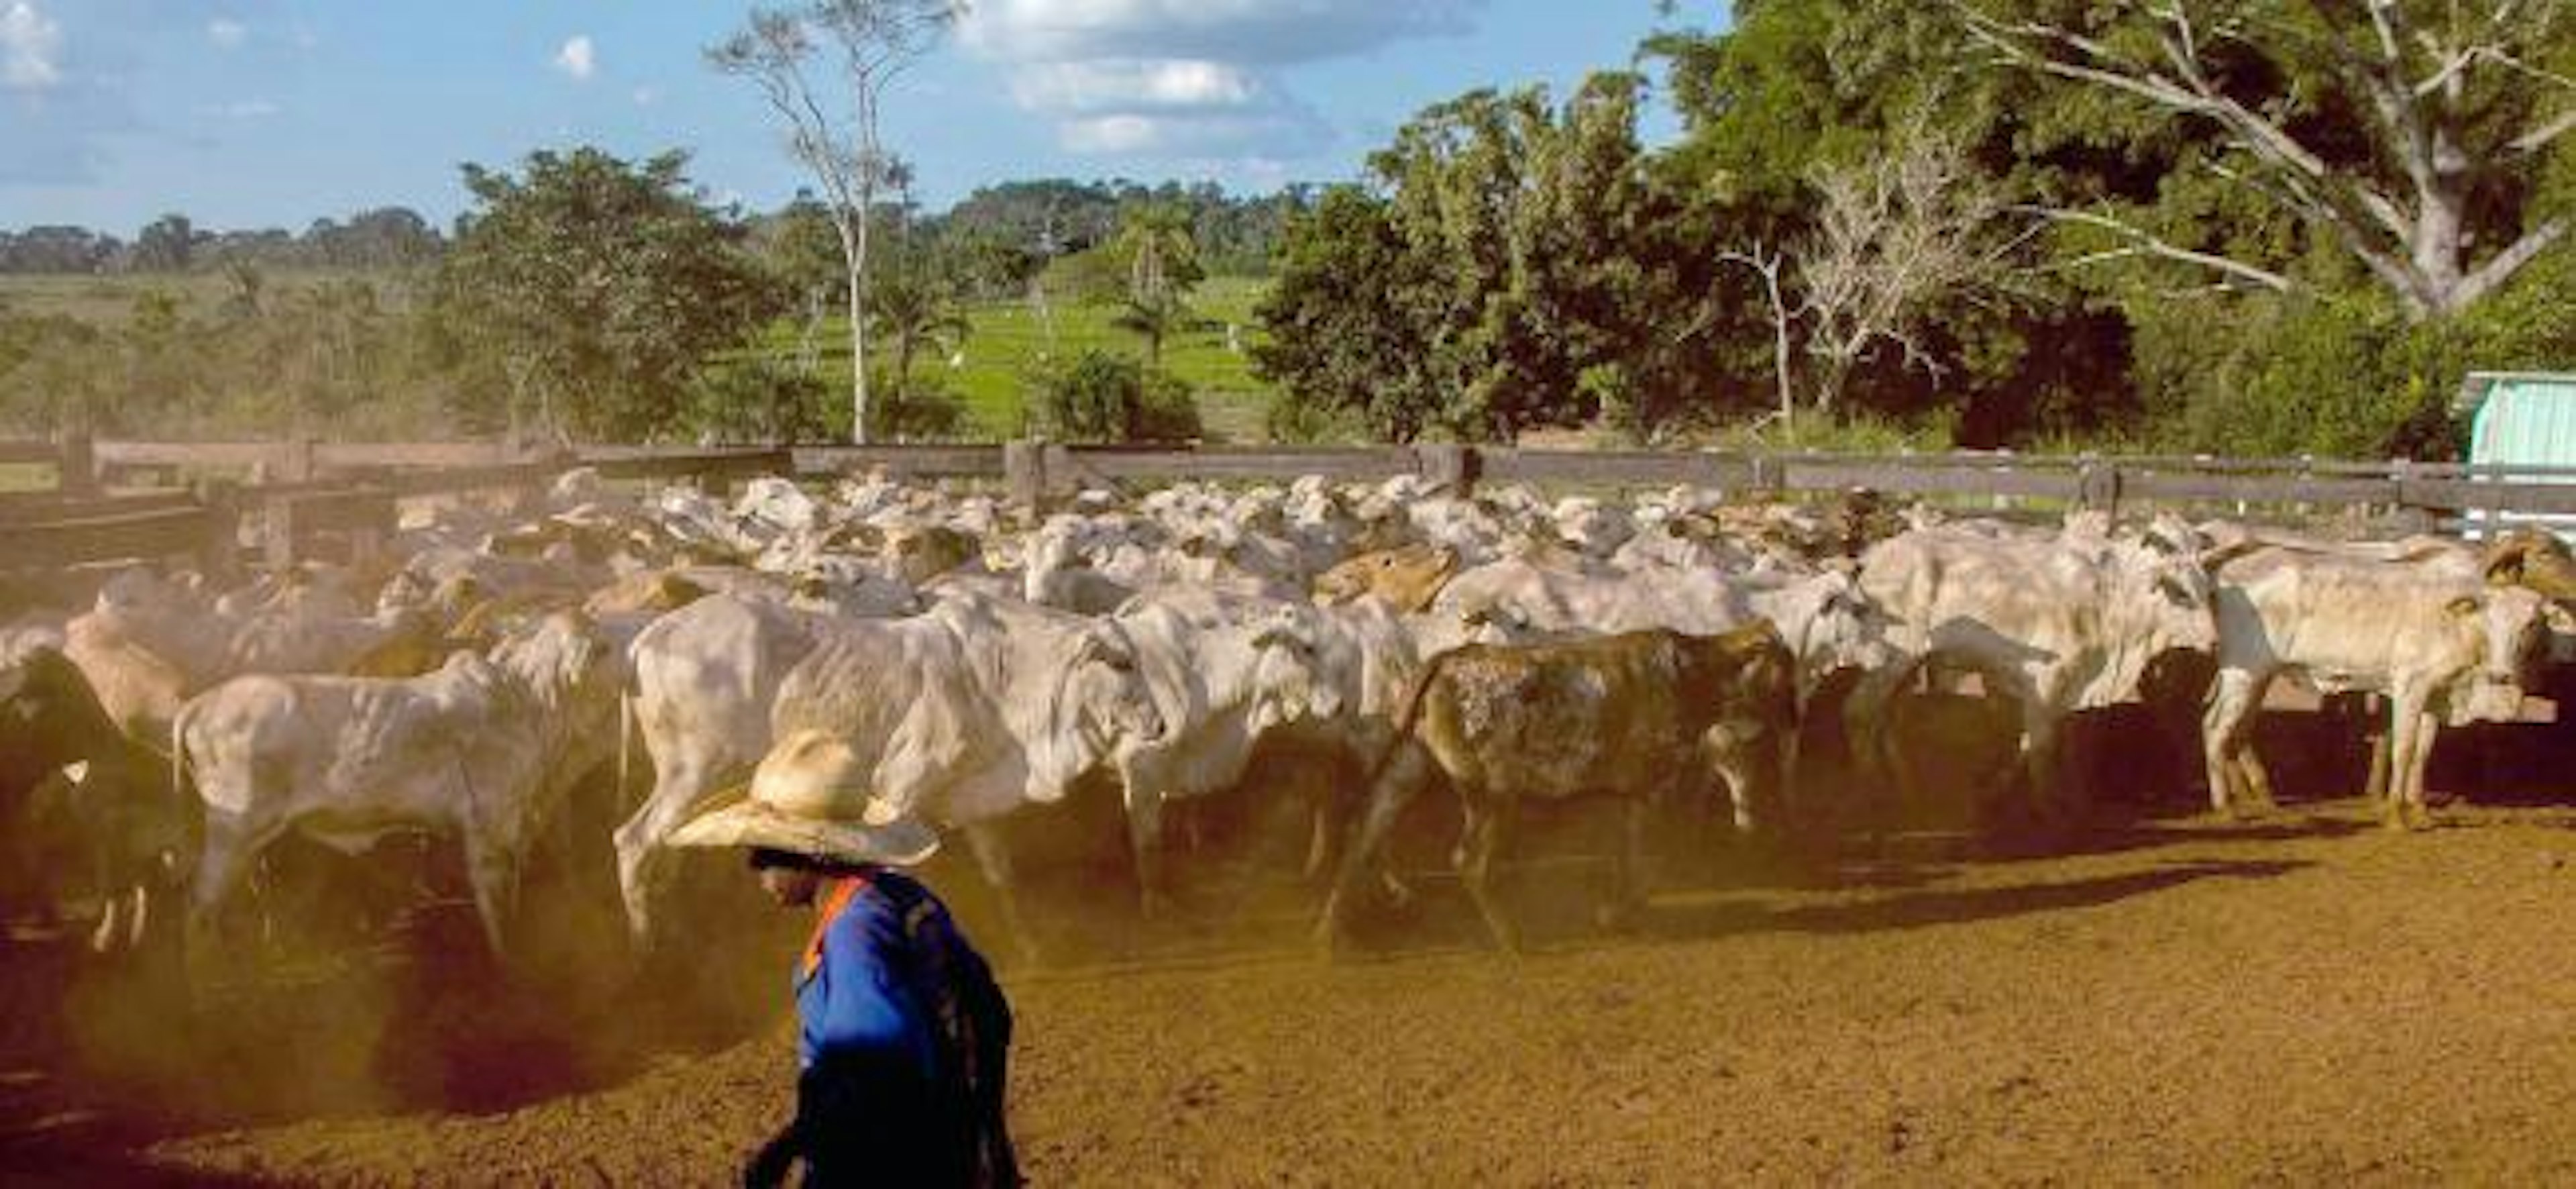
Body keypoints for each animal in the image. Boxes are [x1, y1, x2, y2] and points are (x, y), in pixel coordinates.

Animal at [1329, 627, 1792, 949]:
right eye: (1783, 670)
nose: (1793, 716)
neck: (1692, 675)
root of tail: (1446, 663)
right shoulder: (1658, 788)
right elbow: (1655, 861)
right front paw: (1612, 915)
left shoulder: (1634, 794)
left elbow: (1629, 855)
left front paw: (1617, 913)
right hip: (1492, 794)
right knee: (1469, 861)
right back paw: (1513, 940)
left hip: (1408, 770)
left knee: (1362, 837)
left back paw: (1329, 941)